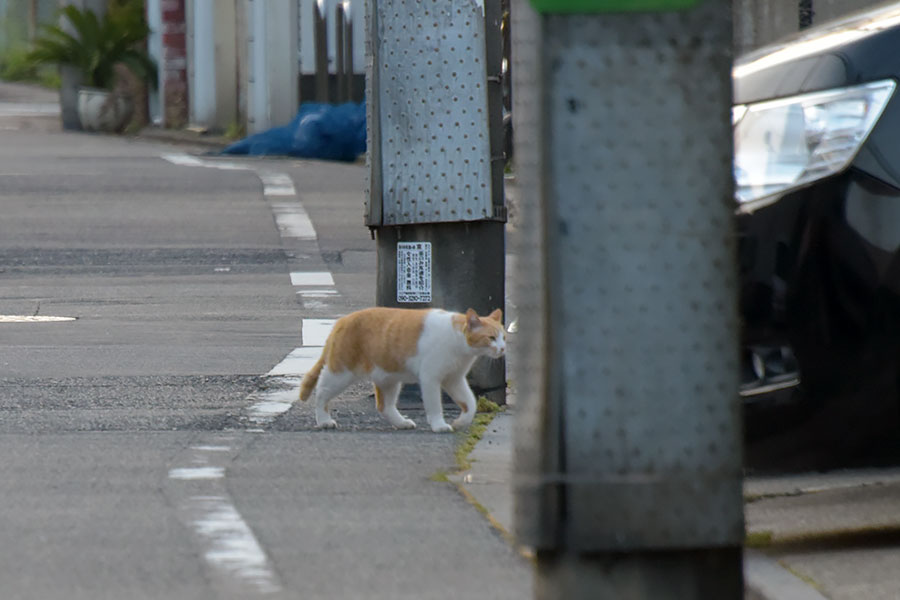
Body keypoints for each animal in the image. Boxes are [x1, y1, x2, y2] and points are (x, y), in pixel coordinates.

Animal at [298, 310, 502, 432]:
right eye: (491, 338)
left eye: (504, 338)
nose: (502, 349)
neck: (457, 340)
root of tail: (343, 320)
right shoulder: (430, 379)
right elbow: (435, 405)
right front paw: (439, 425)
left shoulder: (454, 379)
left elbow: (470, 403)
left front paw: (461, 422)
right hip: (341, 373)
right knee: (321, 393)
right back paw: (323, 420)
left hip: (388, 377)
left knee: (384, 406)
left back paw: (401, 422)